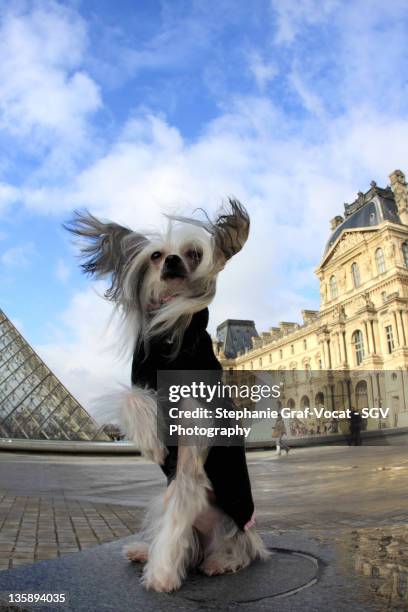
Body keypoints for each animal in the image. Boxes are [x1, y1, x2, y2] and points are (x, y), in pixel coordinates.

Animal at [65, 201, 270, 592]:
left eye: (193, 254)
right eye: (157, 256)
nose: (173, 261)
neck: (171, 335)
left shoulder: (192, 447)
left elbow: (177, 519)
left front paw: (161, 577)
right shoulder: (144, 380)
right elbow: (133, 397)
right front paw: (152, 443)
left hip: (229, 523)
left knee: (240, 548)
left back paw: (220, 561)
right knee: (181, 538)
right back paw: (144, 551)